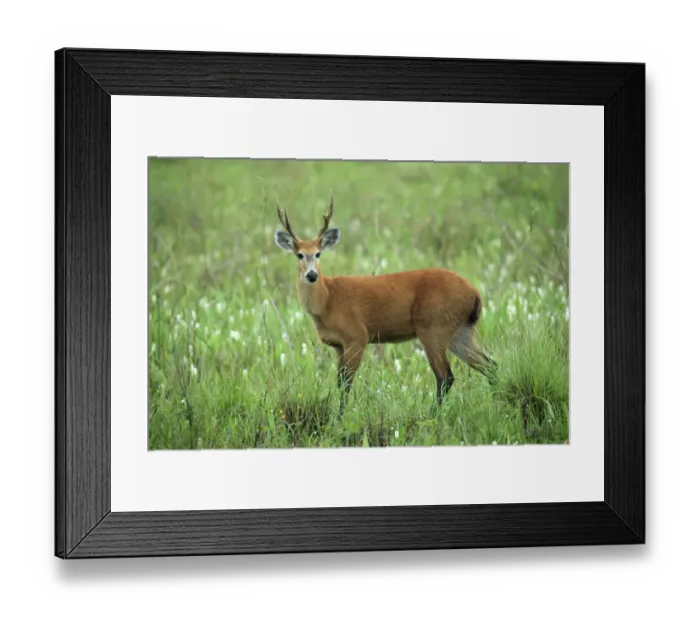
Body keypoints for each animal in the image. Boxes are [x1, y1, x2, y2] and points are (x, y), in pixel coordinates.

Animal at [273, 195, 497, 415]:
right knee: (490, 365)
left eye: (318, 253)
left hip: (433, 326)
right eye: (299, 255)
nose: (312, 275)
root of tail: (475, 294)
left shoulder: (357, 336)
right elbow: (339, 382)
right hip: (460, 331)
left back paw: (431, 416)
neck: (327, 300)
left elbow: (346, 383)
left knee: (445, 376)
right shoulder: (338, 345)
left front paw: (341, 418)